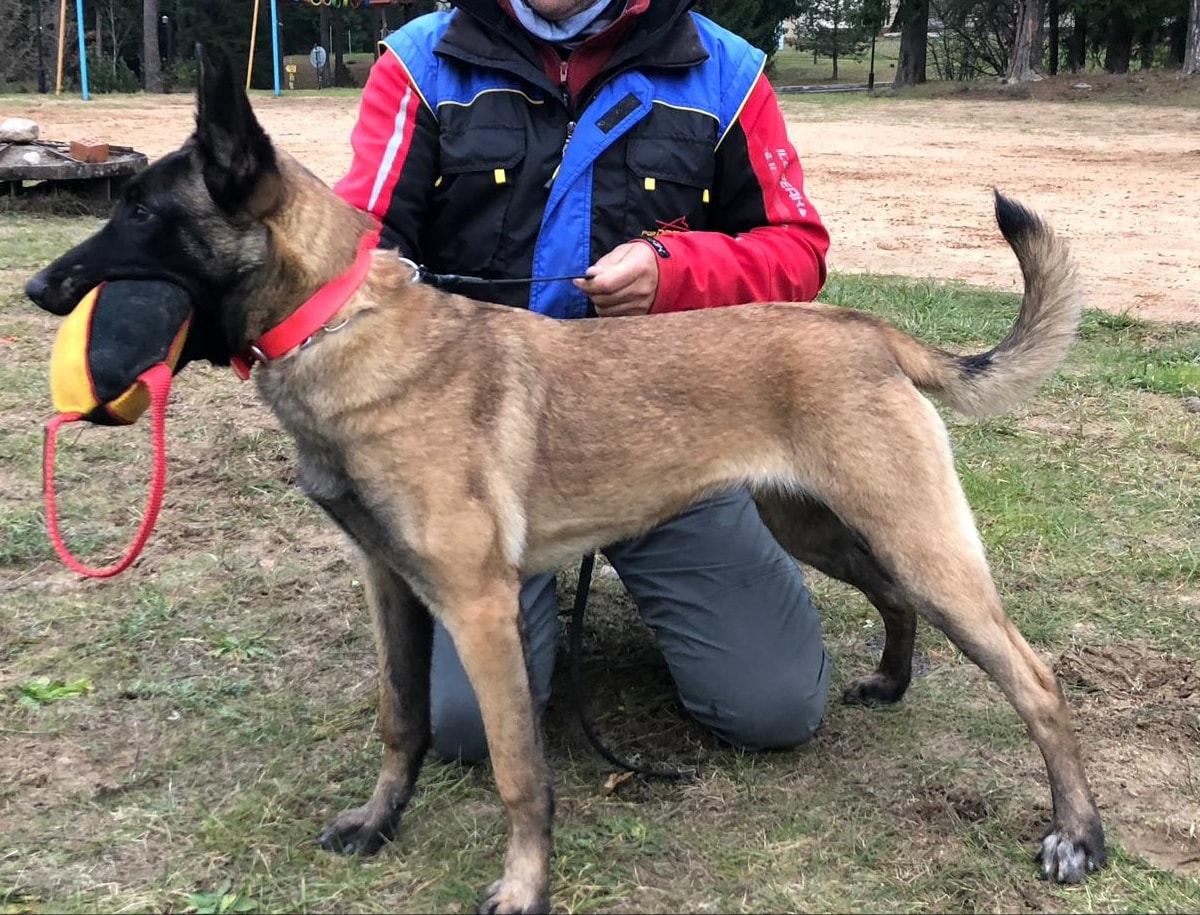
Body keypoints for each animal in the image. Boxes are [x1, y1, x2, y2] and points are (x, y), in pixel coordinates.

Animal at [23, 48, 1104, 912]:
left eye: (143, 214)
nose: (37, 288)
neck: (337, 322)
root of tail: (867, 327)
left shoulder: (478, 609)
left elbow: (519, 773)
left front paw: (524, 886)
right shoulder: (393, 590)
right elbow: (401, 720)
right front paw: (378, 821)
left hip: (915, 538)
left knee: (1037, 679)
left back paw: (1078, 834)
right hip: (823, 526)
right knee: (895, 599)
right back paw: (891, 679)